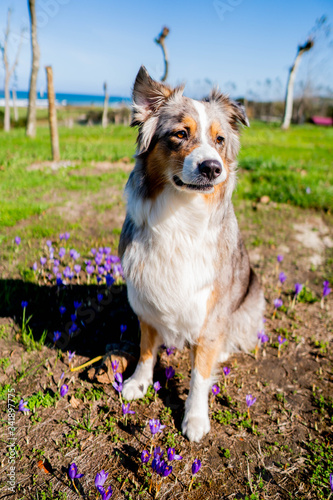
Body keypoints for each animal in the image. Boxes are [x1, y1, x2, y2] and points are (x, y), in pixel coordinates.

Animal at [118, 65, 264, 442]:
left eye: (220, 140)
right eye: (181, 134)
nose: (212, 167)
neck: (181, 214)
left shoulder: (210, 312)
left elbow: (200, 372)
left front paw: (195, 417)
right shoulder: (145, 297)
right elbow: (146, 348)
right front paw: (139, 382)